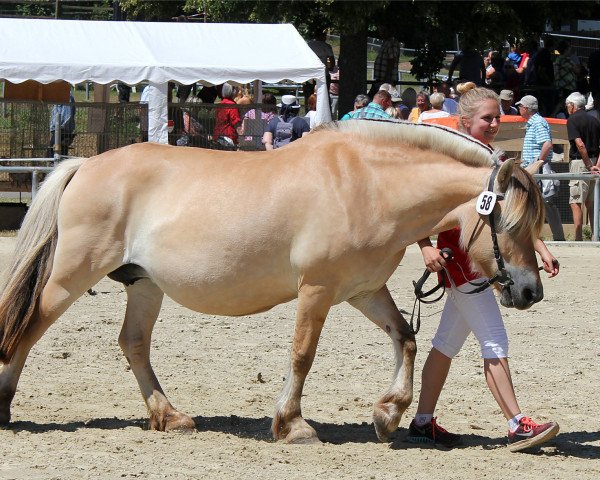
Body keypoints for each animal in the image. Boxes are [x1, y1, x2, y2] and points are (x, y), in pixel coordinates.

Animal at [0, 118, 544, 444]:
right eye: (510, 223)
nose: (530, 291)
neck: (367, 185)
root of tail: (86, 165)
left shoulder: (362, 291)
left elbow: (405, 338)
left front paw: (388, 414)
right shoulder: (317, 290)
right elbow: (302, 354)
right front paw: (293, 424)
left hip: (145, 285)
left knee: (132, 343)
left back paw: (170, 416)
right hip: (72, 275)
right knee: (28, 328)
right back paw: (5, 408)